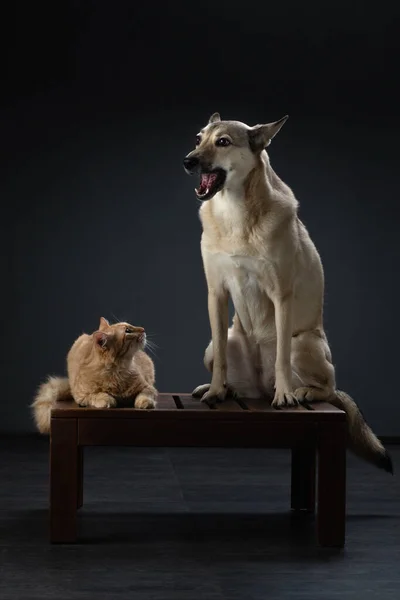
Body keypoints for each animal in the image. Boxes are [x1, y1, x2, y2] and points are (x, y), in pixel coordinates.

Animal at [184, 112, 394, 474]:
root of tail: (257, 388)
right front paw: (215, 390)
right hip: (214, 344)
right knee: (225, 361)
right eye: (199, 139)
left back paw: (303, 392)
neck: (234, 212)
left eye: (223, 142)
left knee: (329, 388)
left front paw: (285, 395)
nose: (188, 161)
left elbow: (281, 357)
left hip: (304, 343)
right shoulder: (216, 295)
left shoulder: (281, 296)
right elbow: (222, 358)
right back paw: (223, 388)